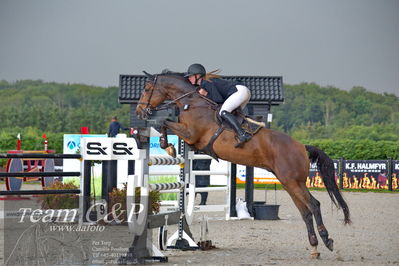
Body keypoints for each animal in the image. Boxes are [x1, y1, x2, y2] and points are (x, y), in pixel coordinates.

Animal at [137, 71, 350, 258]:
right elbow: (165, 124)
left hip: (293, 182)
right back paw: (314, 247)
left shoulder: (191, 134)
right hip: (290, 183)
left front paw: (166, 145)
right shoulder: (191, 140)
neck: (193, 103)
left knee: (314, 205)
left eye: (147, 88)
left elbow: (164, 122)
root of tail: (301, 147)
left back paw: (327, 240)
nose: (140, 111)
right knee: (305, 211)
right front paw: (168, 146)